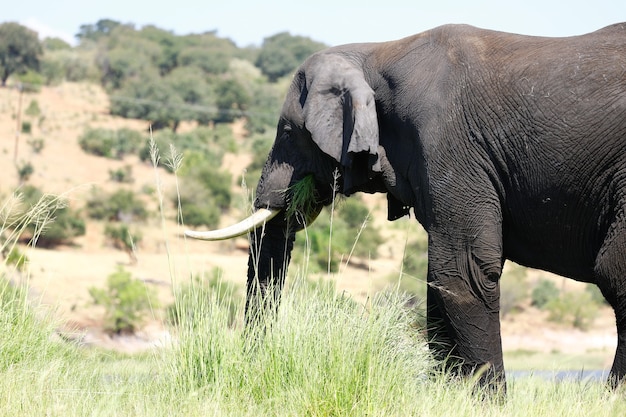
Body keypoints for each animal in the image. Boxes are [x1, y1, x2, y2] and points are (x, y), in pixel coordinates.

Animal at [188, 23, 624, 390]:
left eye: (289, 132)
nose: (250, 366)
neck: (374, 51)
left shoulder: (449, 144)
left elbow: (462, 273)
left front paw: (485, 403)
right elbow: (440, 280)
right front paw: (447, 395)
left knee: (614, 274)